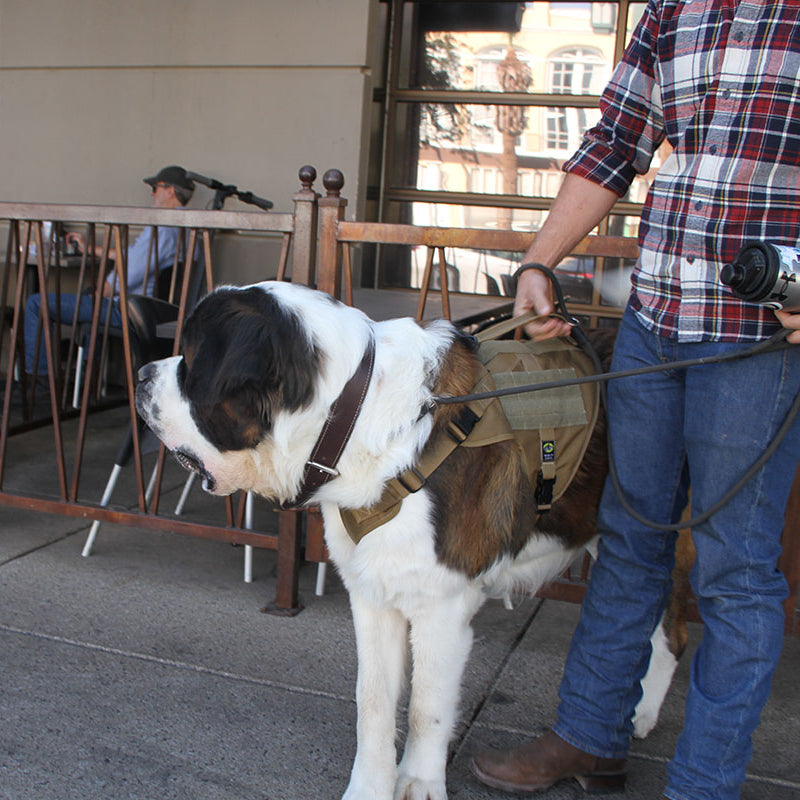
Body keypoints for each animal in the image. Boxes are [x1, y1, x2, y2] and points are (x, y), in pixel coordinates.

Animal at [134, 282, 684, 800]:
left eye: (192, 363)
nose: (139, 374)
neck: (352, 416)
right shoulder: (374, 594)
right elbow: (374, 700)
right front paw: (368, 788)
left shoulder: (441, 603)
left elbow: (425, 706)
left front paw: (418, 783)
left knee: (674, 633)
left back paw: (642, 713)